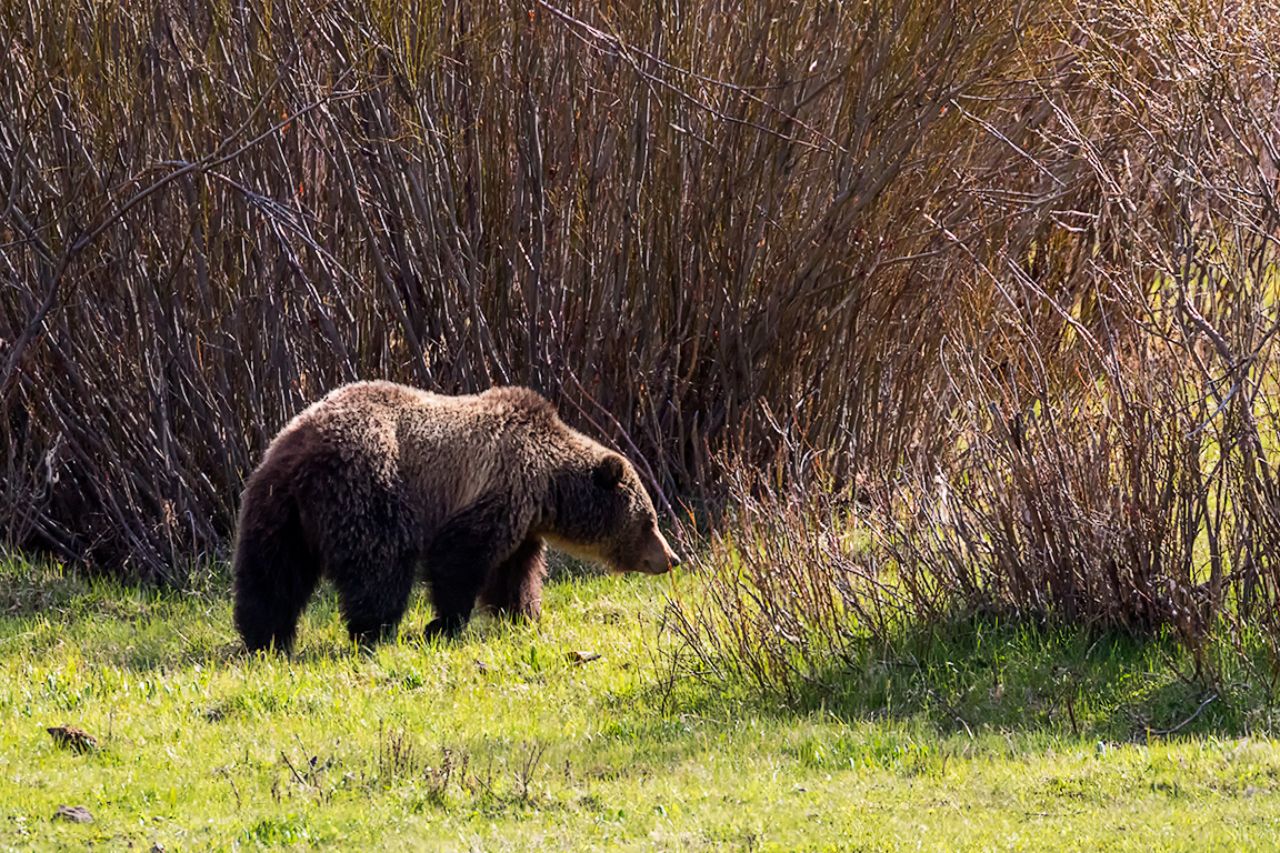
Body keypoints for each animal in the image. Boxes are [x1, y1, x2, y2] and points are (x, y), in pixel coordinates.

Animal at [232, 381, 681, 652]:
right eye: (650, 521)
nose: (671, 558)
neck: (548, 485)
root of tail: (300, 450)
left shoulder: (521, 519)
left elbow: (514, 571)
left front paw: (524, 614)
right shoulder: (495, 486)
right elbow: (459, 560)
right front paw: (443, 625)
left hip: (275, 508)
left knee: (271, 572)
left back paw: (265, 637)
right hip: (367, 484)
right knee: (379, 563)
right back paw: (374, 630)